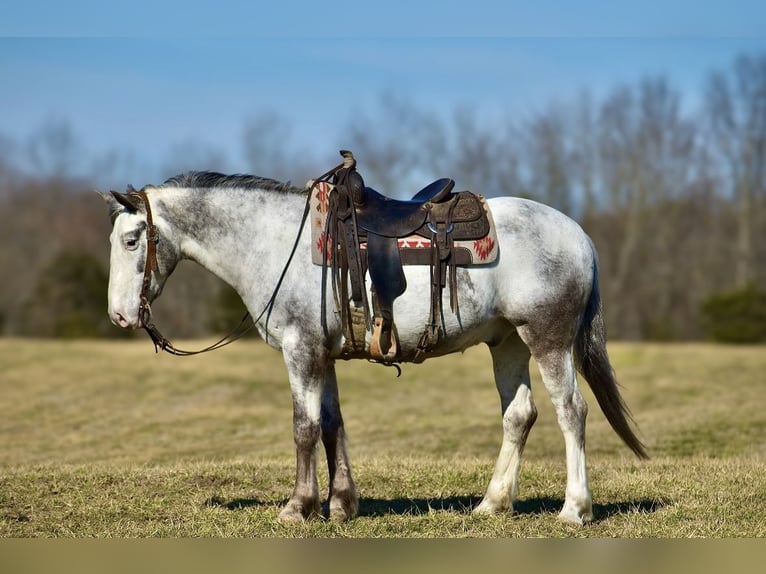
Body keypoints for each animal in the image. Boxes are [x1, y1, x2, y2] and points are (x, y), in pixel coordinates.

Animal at [97, 168, 648, 528]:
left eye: (131, 241)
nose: (120, 316)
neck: (273, 243)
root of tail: (579, 236)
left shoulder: (301, 350)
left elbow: (304, 428)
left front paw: (297, 508)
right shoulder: (322, 354)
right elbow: (332, 425)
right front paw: (341, 504)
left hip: (547, 339)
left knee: (571, 412)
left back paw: (574, 510)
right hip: (507, 342)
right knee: (520, 415)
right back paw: (492, 504)